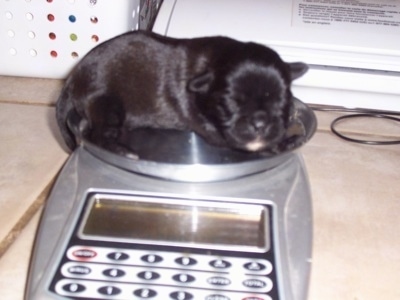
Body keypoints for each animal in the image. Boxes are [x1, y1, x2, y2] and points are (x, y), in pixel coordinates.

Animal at [55, 30, 306, 156]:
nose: (260, 122)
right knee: (96, 134)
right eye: (230, 104)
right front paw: (287, 142)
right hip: (108, 105)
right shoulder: (214, 131)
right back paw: (123, 151)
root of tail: (72, 78)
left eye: (283, 101)